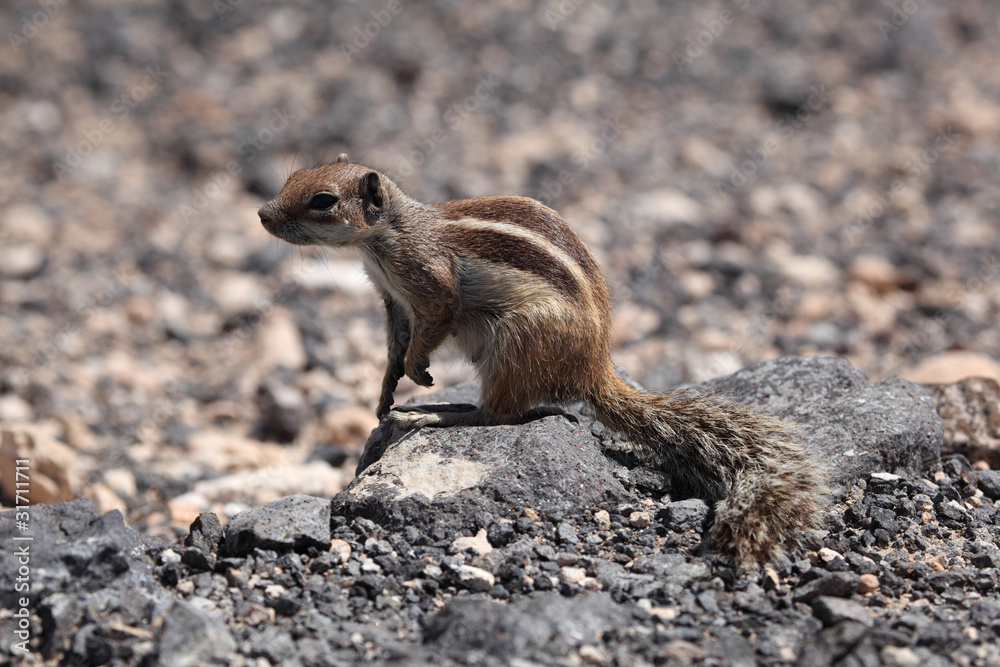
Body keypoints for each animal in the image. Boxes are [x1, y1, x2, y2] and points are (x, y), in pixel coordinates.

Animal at [257, 154, 829, 567]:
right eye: (294, 177)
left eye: (323, 200)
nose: (262, 214)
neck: (386, 235)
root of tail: (594, 370)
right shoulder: (393, 301)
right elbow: (395, 346)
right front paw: (386, 388)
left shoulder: (429, 285)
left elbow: (433, 325)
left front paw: (419, 375)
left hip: (513, 341)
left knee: (500, 413)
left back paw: (439, 414)